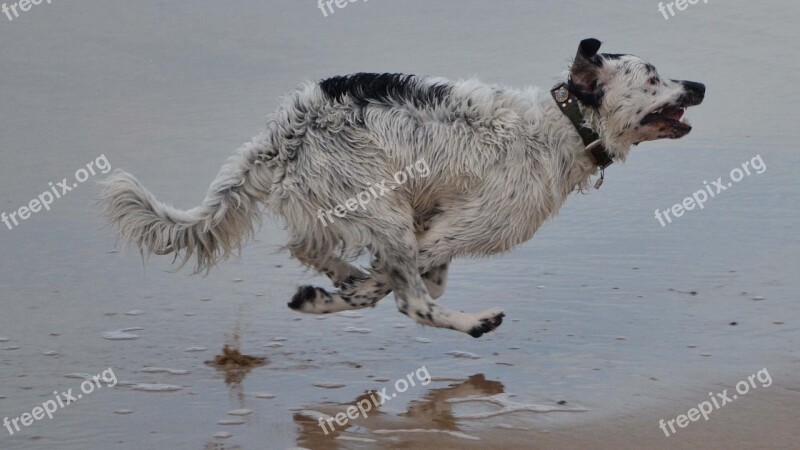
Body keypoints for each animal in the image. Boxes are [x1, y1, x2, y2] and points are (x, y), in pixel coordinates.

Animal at [101, 39, 708, 338]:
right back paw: (471, 322)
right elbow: (400, 290)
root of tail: (281, 133)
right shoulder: (444, 230)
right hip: (381, 208)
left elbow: (407, 279)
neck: (560, 128)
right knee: (411, 302)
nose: (701, 85)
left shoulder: (431, 231)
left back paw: (338, 280)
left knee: (311, 247)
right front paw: (340, 295)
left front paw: (341, 288)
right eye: (653, 78)